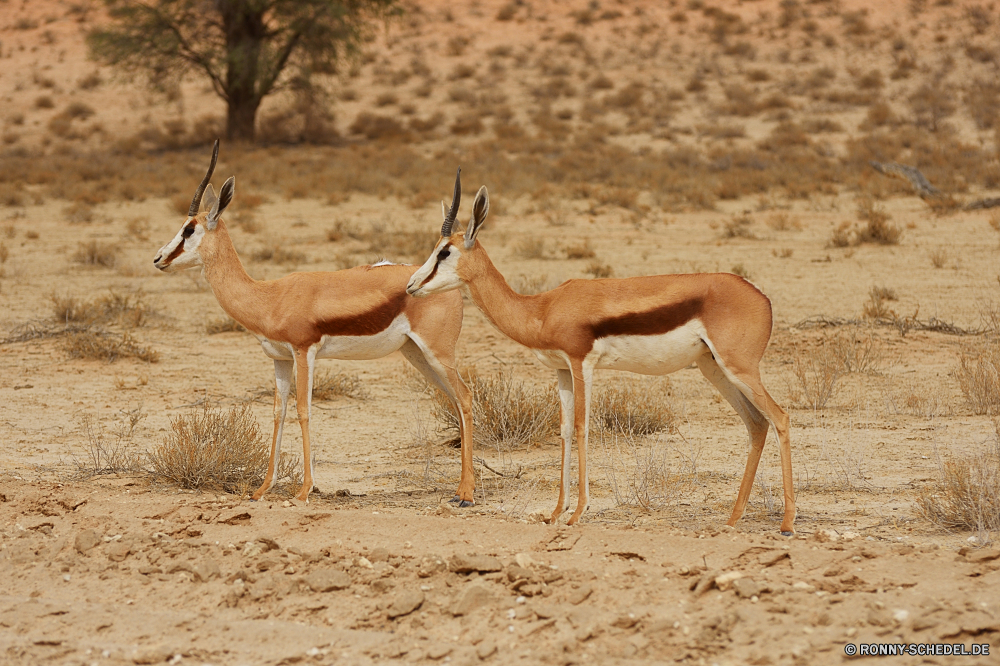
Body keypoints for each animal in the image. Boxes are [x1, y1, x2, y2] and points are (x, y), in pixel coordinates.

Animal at [154, 141, 474, 504]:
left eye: (189, 229)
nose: (158, 258)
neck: (269, 296)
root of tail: (451, 283)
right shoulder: (279, 358)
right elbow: (277, 413)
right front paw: (263, 489)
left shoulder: (303, 351)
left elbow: (304, 411)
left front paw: (304, 489)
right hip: (417, 355)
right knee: (455, 400)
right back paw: (459, 488)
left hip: (437, 353)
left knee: (465, 397)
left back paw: (466, 493)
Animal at [406, 172, 796, 536]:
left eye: (445, 251)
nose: (410, 285)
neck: (542, 309)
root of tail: (760, 295)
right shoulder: (562, 371)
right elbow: (564, 430)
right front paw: (555, 512)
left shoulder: (583, 364)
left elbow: (582, 428)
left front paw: (578, 513)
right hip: (713, 369)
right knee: (756, 423)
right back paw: (732, 519)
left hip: (739, 368)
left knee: (779, 417)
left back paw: (787, 523)